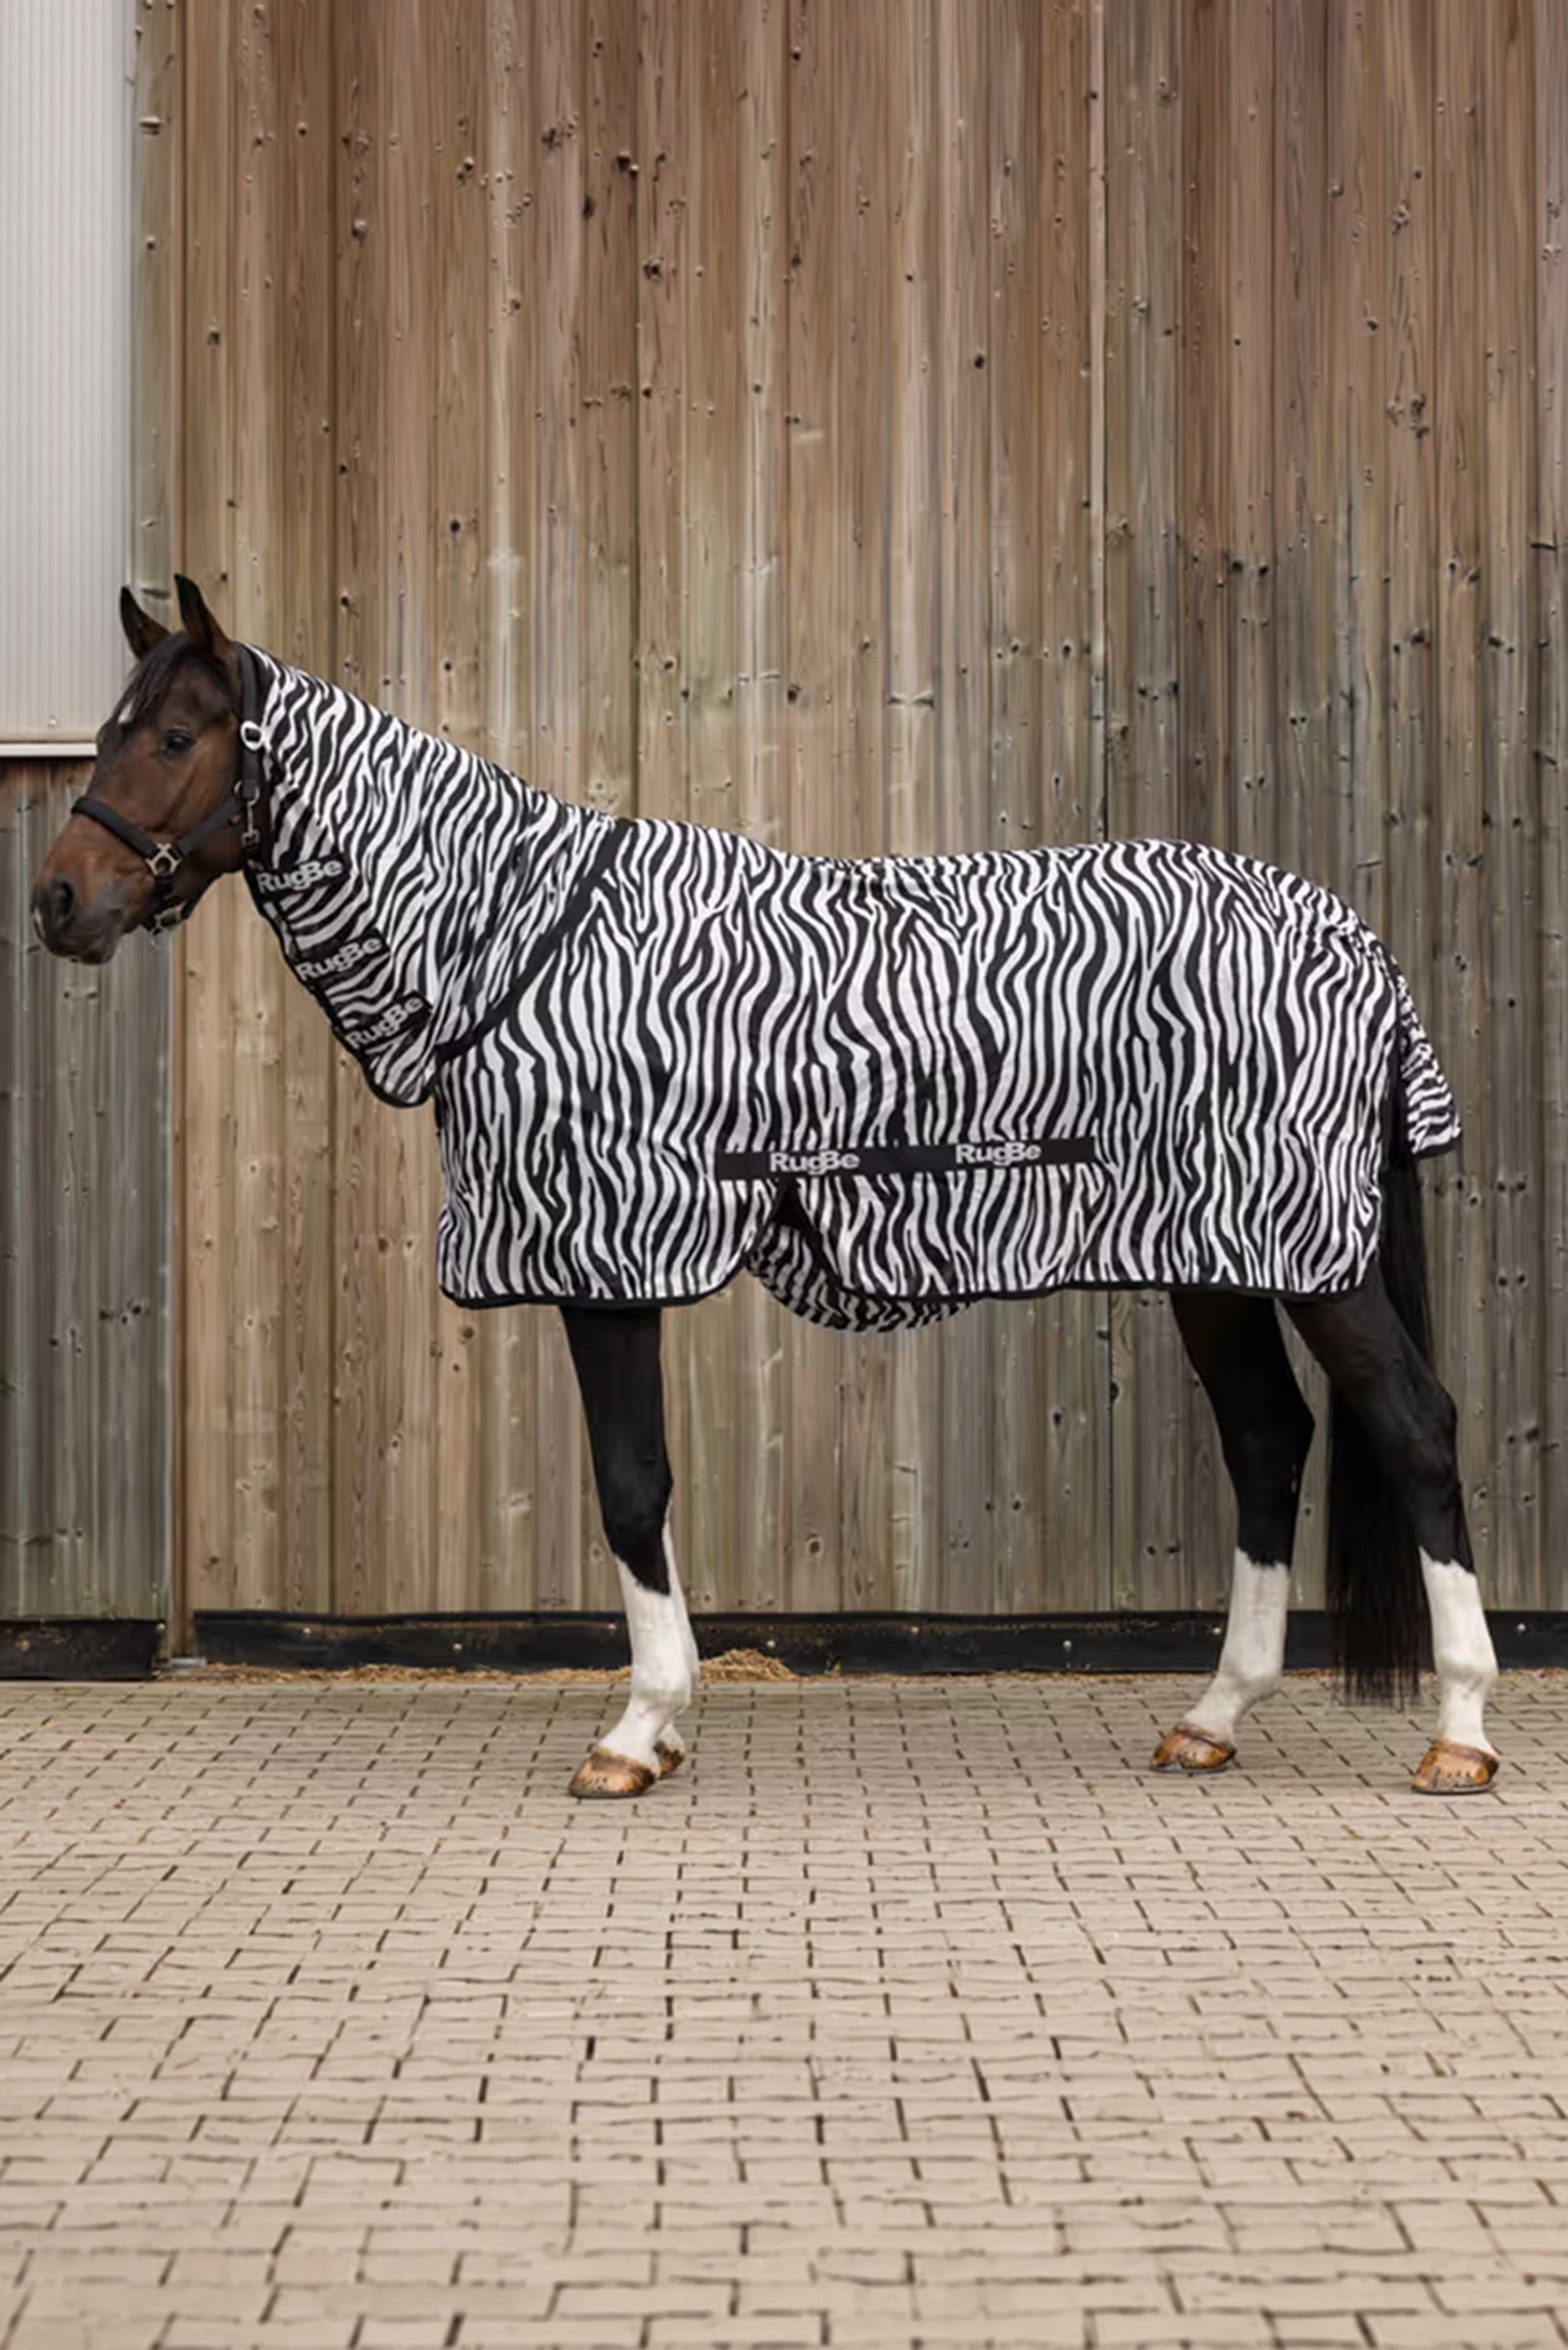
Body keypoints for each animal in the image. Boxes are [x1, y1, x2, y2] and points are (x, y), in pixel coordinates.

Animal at [32, 576, 1501, 1800]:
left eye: (176, 737)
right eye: (103, 732)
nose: (57, 901)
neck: (517, 945)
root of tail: (1350, 939)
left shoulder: (607, 1257)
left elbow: (633, 1486)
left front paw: (639, 1729)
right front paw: (661, 1720)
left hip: (1310, 1253)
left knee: (1416, 1426)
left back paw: (1460, 1731)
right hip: (1219, 1258)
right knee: (1268, 1443)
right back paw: (1212, 1716)